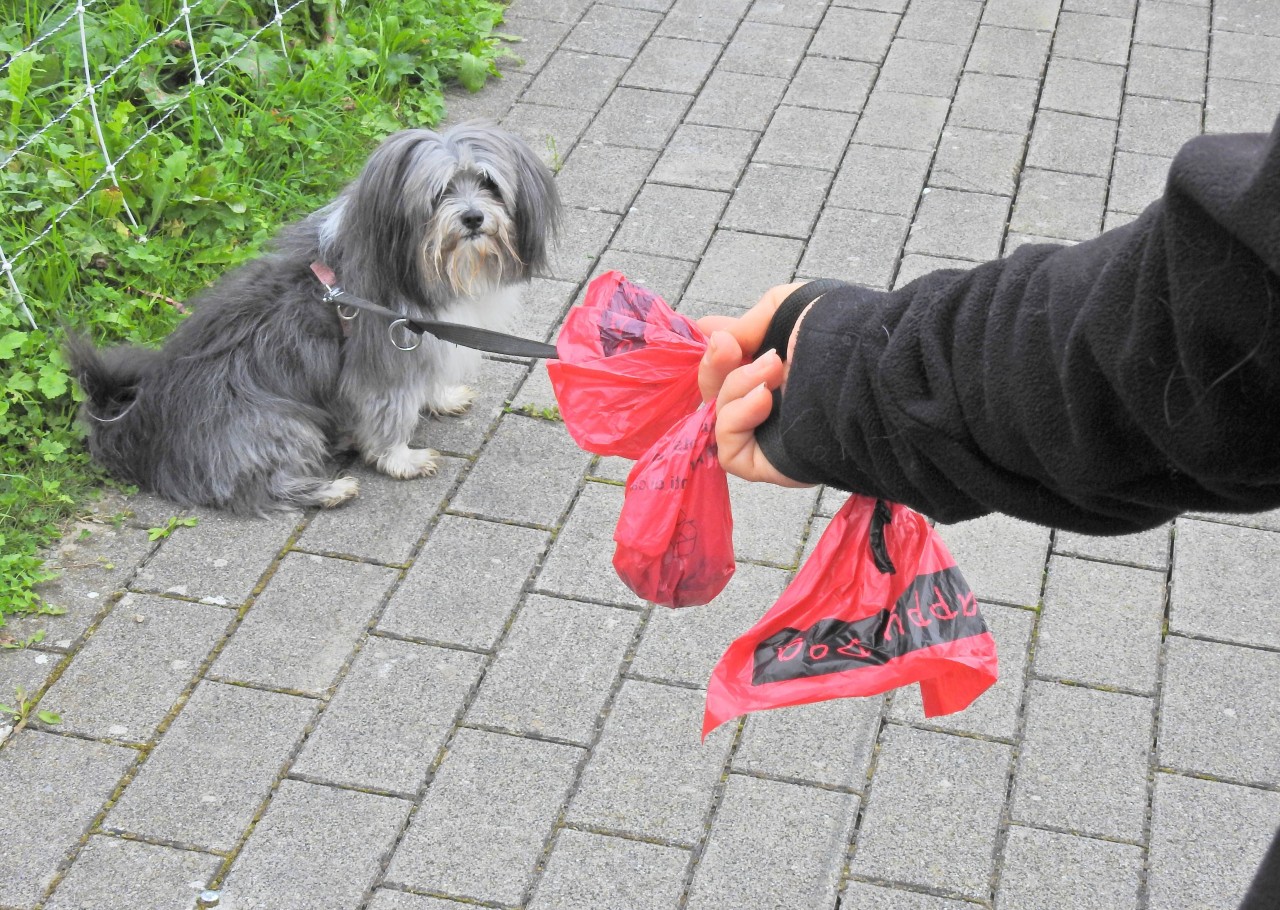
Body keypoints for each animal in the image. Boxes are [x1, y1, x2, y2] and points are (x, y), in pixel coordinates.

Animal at [64, 122, 555, 517]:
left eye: (488, 183)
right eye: (439, 194)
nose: (473, 217)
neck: (412, 267)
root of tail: (141, 429)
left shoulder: (422, 343)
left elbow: (429, 381)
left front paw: (443, 397)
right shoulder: (382, 363)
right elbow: (389, 415)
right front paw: (402, 460)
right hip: (279, 424)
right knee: (254, 487)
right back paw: (331, 490)